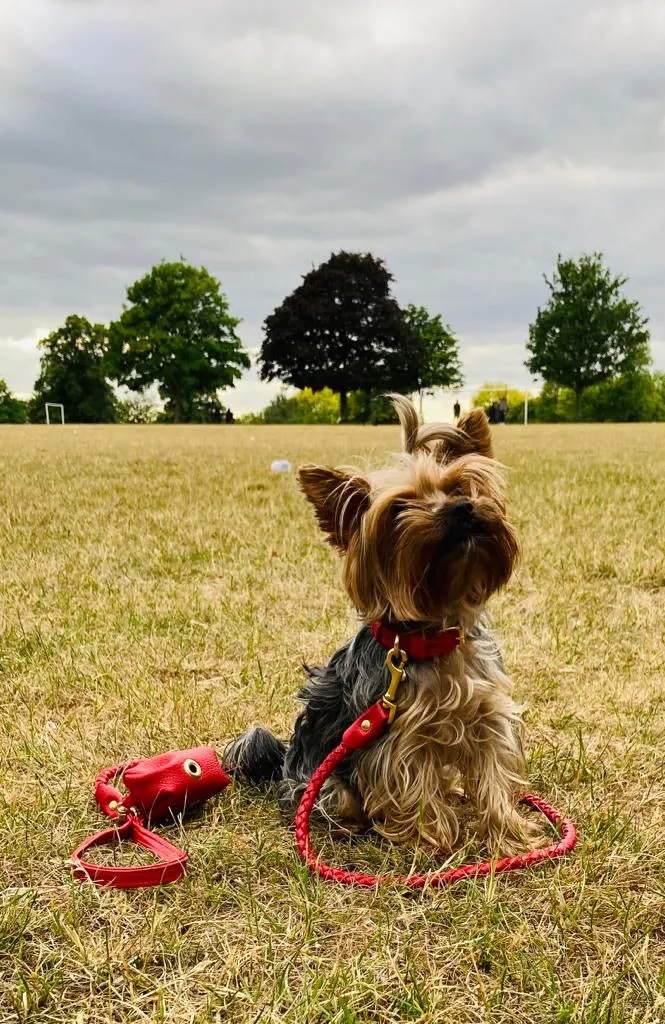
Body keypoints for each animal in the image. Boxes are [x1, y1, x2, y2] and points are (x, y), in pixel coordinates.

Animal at [224, 395, 532, 851]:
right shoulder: (397, 735)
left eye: (460, 487)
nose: (462, 509)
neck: (434, 635)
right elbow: (413, 787)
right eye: (400, 507)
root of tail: (284, 764)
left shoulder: (488, 715)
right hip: (327, 786)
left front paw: (509, 836)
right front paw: (435, 843)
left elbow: (494, 775)